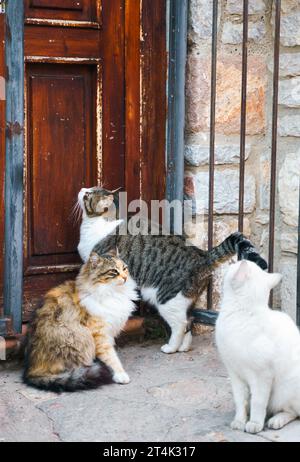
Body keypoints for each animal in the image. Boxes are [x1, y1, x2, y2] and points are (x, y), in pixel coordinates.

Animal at [23, 251, 138, 392]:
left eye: (125, 268)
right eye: (113, 272)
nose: (125, 277)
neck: (113, 293)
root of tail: (31, 371)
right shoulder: (100, 335)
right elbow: (111, 357)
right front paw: (120, 374)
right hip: (79, 336)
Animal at [75, 187, 268, 354]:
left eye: (88, 194)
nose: (82, 189)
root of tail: (202, 255)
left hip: (167, 298)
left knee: (180, 324)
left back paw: (171, 347)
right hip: (185, 299)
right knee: (189, 320)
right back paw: (184, 347)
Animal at [216, 262, 300, 434]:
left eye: (233, 266)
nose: (231, 263)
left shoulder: (262, 376)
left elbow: (258, 402)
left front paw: (254, 423)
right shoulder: (234, 374)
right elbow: (240, 400)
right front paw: (239, 420)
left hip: (286, 388)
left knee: (292, 412)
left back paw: (276, 420)